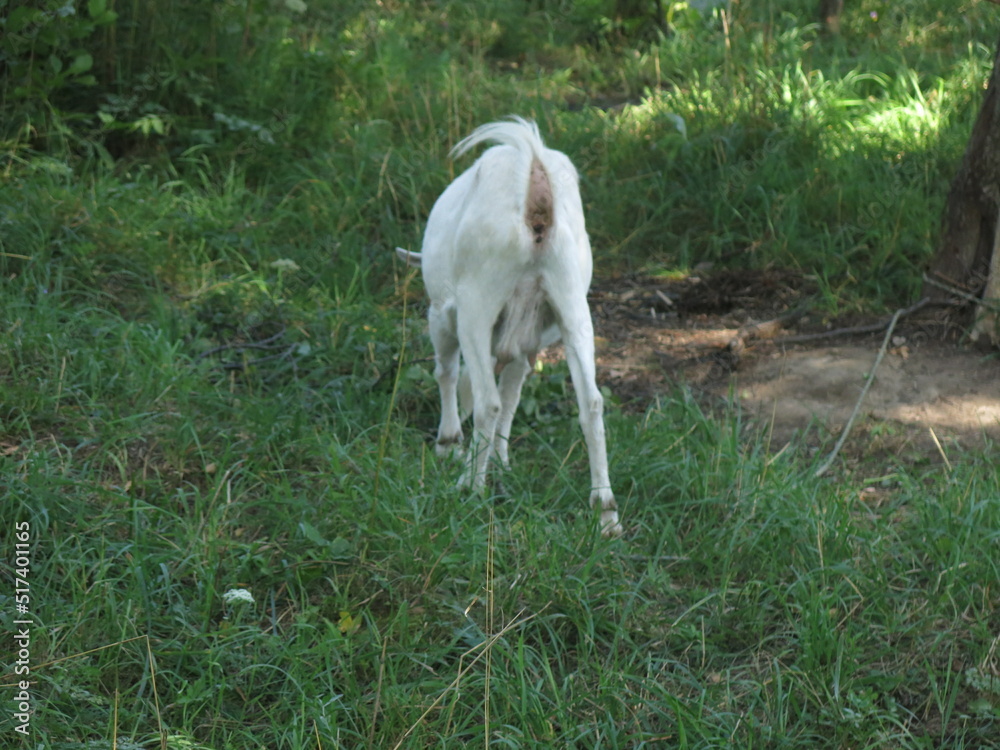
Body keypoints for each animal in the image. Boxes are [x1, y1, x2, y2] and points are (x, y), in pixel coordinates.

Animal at [396, 117, 621, 536]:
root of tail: (535, 172)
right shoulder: (527, 344)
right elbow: (514, 395)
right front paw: (500, 461)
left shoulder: (441, 315)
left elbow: (448, 372)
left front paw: (449, 444)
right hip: (571, 299)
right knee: (591, 402)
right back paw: (606, 513)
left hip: (479, 301)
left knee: (487, 400)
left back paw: (469, 487)